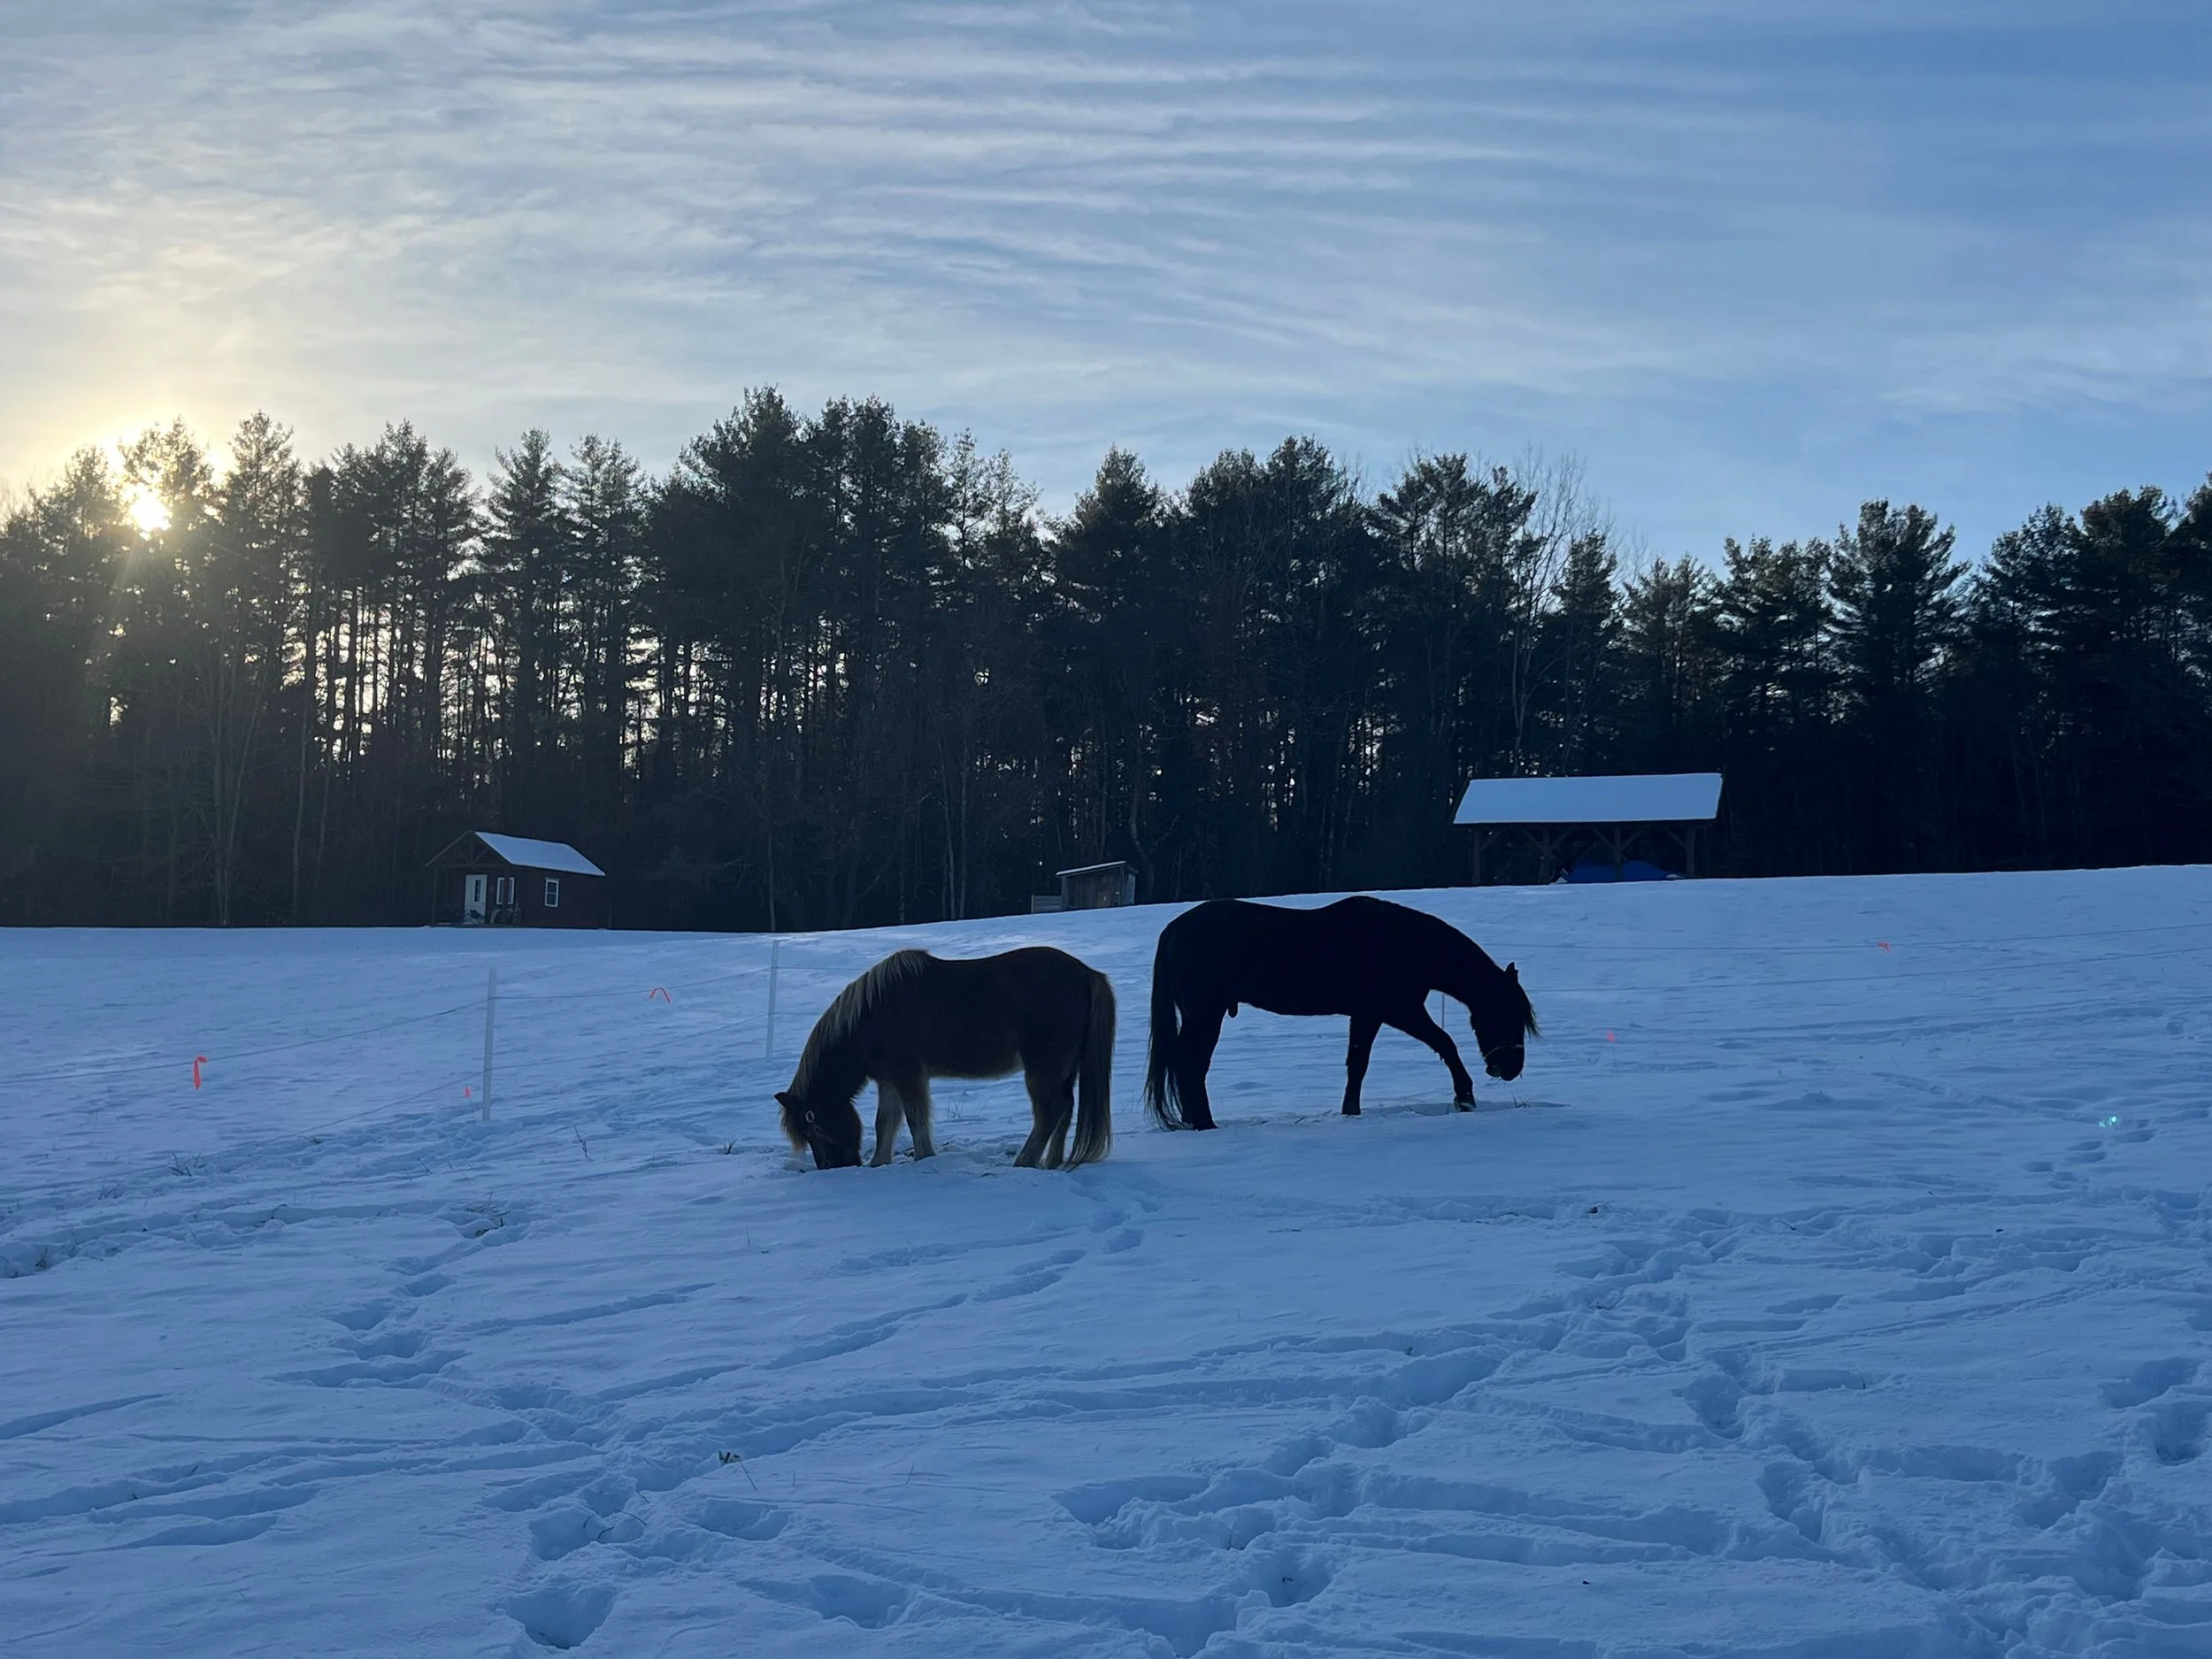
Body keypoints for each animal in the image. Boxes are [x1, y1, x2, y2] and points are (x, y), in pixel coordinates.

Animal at [776, 947, 1116, 1171]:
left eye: (815, 1129)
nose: (833, 1167)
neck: (870, 1016)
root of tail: (1088, 975)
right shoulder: (888, 1080)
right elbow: (886, 1122)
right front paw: (879, 1164)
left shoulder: (908, 1075)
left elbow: (915, 1118)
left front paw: (924, 1159)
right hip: (1066, 1069)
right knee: (1066, 1107)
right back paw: (1052, 1163)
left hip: (1042, 1068)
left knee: (1051, 1110)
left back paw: (1025, 1162)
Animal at [1142, 895, 1537, 1130]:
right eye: (1507, 1014)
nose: (1510, 1068)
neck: (1407, 945)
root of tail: (1174, 929)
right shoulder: (1401, 1010)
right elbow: (1445, 1043)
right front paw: (1465, 1097)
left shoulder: (1367, 1015)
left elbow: (1357, 1063)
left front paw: (1351, 1111)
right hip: (1205, 1015)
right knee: (1193, 1065)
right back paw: (1205, 1124)